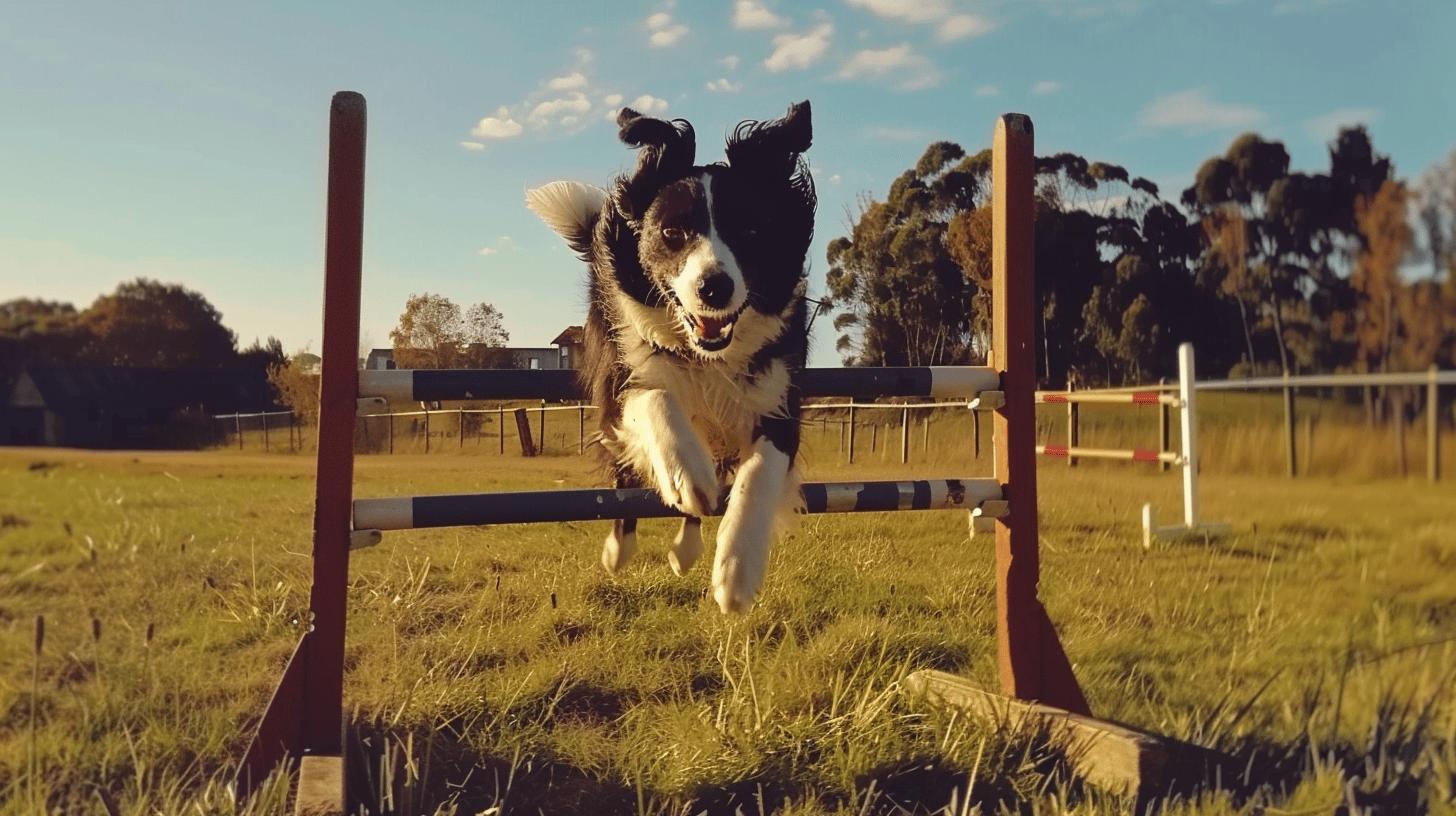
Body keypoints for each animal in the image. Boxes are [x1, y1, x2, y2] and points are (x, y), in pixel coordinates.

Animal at [527, 100, 821, 612]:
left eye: (751, 230)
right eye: (671, 232)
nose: (713, 287)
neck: (706, 356)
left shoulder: (780, 397)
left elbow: (760, 471)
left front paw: (737, 570)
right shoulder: (620, 385)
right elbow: (655, 399)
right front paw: (686, 472)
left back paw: (688, 548)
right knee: (627, 478)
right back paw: (622, 549)